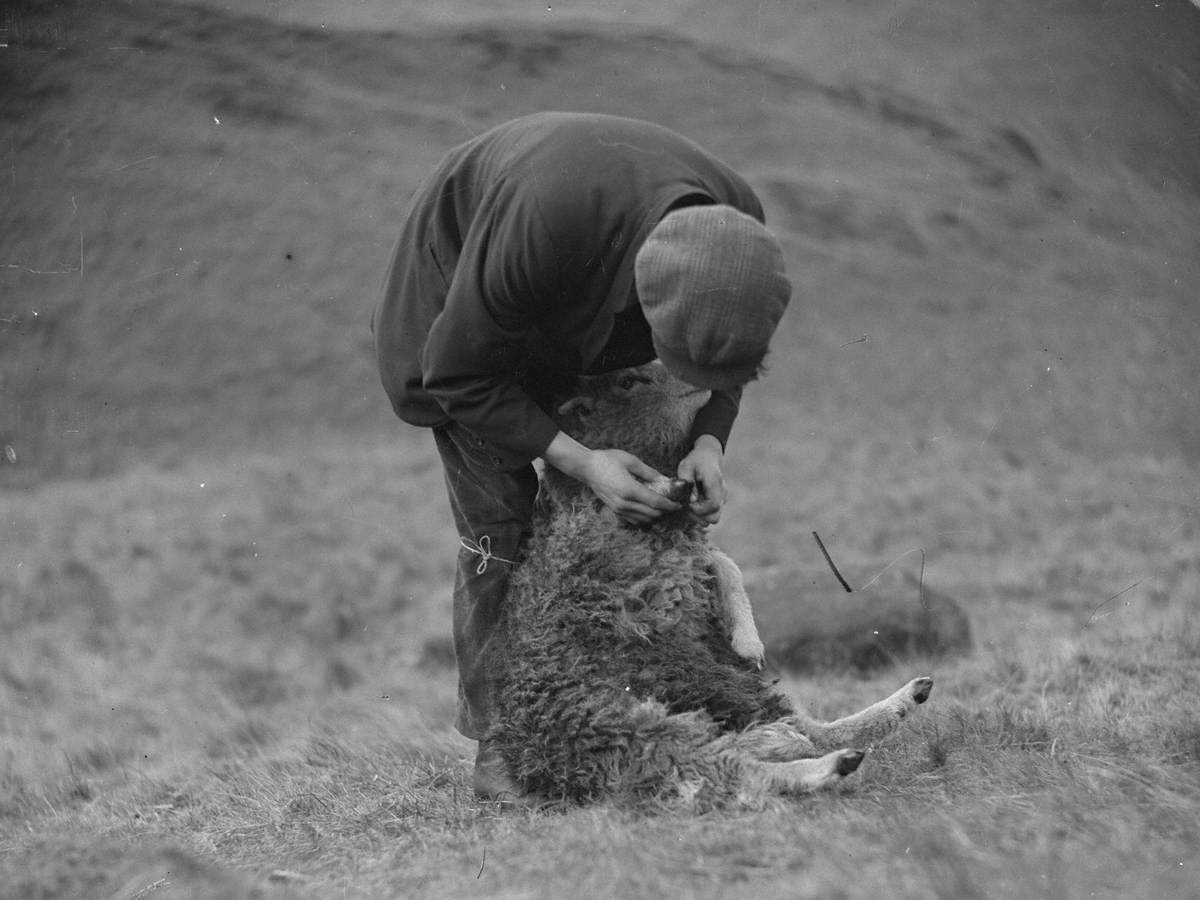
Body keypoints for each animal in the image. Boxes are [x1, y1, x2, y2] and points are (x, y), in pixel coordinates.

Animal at [482, 360, 931, 811]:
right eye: (628, 381)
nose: (702, 376)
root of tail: (546, 767)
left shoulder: (681, 565)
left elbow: (724, 562)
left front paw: (748, 641)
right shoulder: (643, 578)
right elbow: (712, 555)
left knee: (793, 732)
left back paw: (892, 702)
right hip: (635, 728)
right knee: (725, 771)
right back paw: (823, 758)